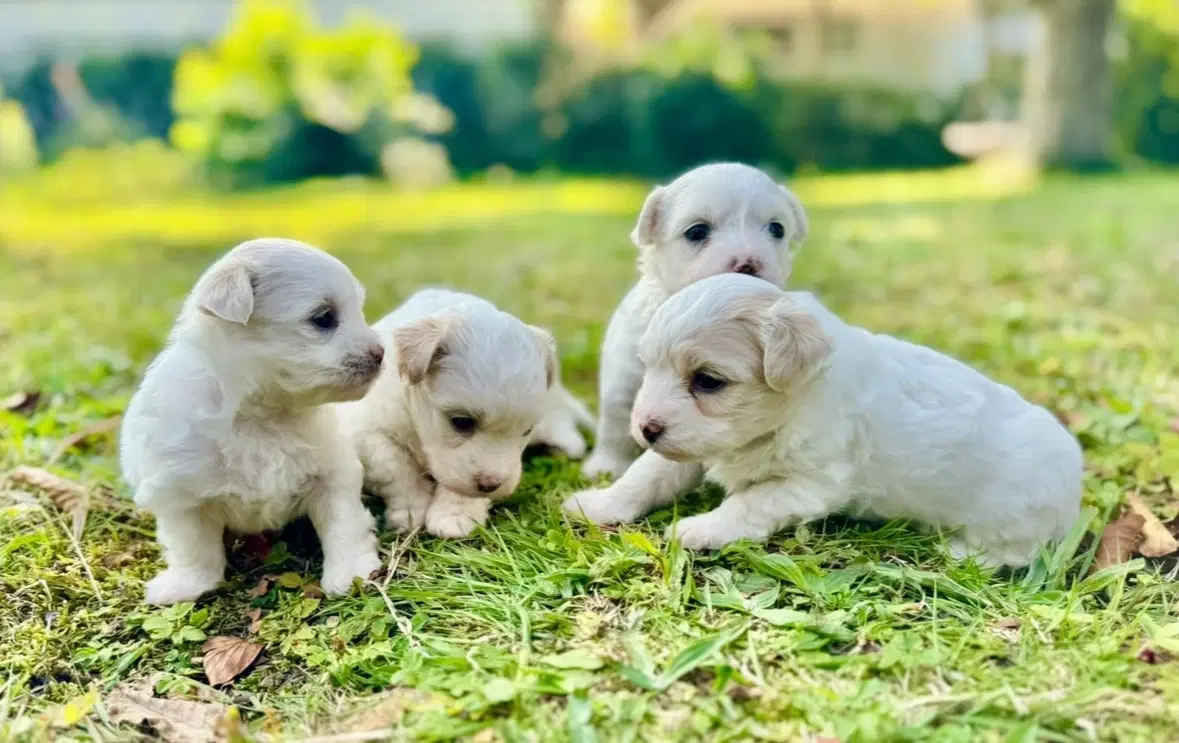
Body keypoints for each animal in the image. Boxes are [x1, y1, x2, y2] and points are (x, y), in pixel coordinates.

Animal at [122, 238, 384, 603]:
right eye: (323, 318)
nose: (381, 353)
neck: (260, 415)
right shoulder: (178, 494)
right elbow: (193, 546)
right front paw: (187, 584)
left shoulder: (333, 473)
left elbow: (343, 523)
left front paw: (352, 573)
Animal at [339, 291, 558, 542]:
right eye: (462, 422)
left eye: (527, 430)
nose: (491, 485)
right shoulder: (366, 429)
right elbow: (394, 466)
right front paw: (410, 510)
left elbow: (460, 486)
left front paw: (455, 514)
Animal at [565, 162, 806, 521]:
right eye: (696, 232)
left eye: (776, 229)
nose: (748, 263)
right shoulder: (623, 375)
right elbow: (615, 423)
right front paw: (605, 467)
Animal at [589, 273, 1084, 570]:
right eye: (647, 366)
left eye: (708, 381)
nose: (645, 428)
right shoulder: (691, 447)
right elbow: (647, 474)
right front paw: (599, 504)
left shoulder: (811, 483)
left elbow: (748, 503)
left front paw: (701, 529)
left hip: (1015, 515)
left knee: (1014, 550)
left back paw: (960, 552)